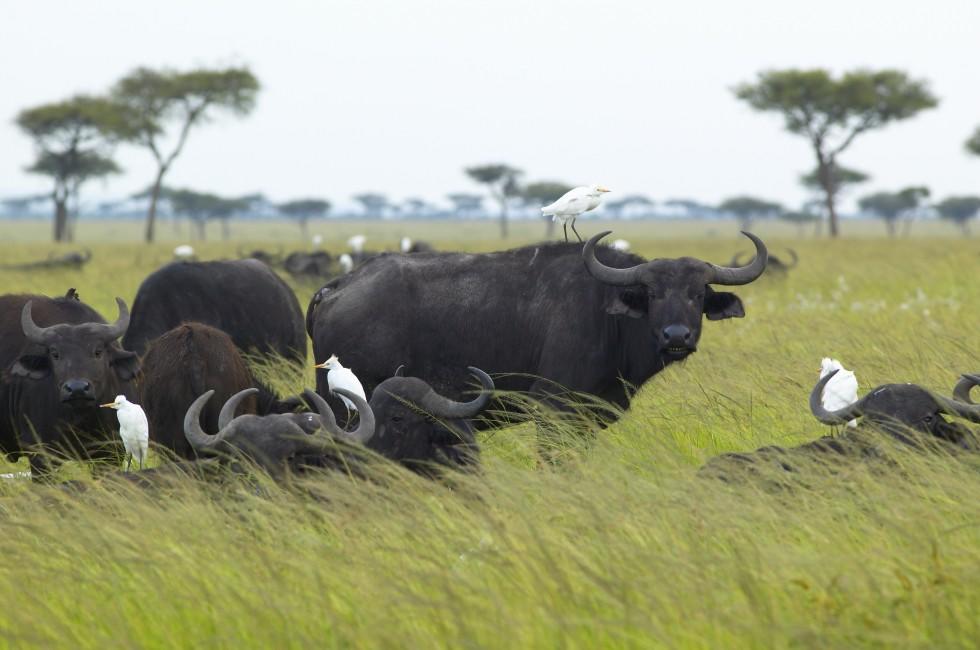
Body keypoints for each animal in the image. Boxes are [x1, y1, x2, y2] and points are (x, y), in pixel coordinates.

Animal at [0, 293, 138, 476]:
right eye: (55, 354)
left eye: (98, 351)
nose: (77, 388)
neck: (81, 419)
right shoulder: (41, 455)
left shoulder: (111, 453)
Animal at [306, 231, 767, 422]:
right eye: (651, 293)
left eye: (697, 294)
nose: (676, 337)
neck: (607, 317)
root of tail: (337, 286)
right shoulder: (556, 413)